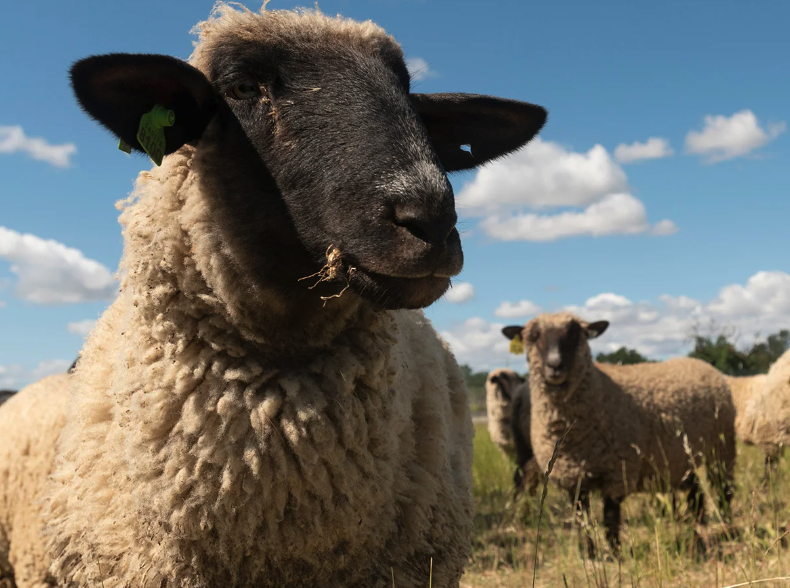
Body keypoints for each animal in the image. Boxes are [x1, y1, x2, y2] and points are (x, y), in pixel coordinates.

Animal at [504, 312, 740, 556]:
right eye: (533, 336)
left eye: (574, 332)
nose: (555, 365)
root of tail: (700, 362)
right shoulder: (571, 478)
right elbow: (582, 521)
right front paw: (590, 555)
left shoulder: (618, 471)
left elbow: (610, 519)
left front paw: (615, 555)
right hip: (681, 457)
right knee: (696, 492)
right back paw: (697, 531)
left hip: (722, 446)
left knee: (723, 488)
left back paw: (726, 527)